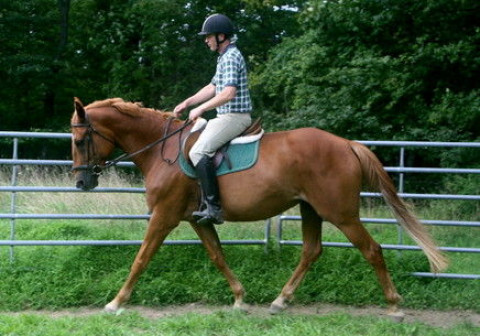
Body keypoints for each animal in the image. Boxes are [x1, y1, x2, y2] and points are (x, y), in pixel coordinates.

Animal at [70, 97, 446, 318]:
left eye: (80, 140)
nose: (81, 183)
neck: (164, 151)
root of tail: (347, 144)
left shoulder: (164, 216)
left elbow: (142, 257)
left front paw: (116, 302)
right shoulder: (197, 220)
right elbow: (217, 256)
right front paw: (240, 298)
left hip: (340, 213)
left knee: (371, 249)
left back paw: (394, 306)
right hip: (310, 209)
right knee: (311, 250)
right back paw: (280, 301)